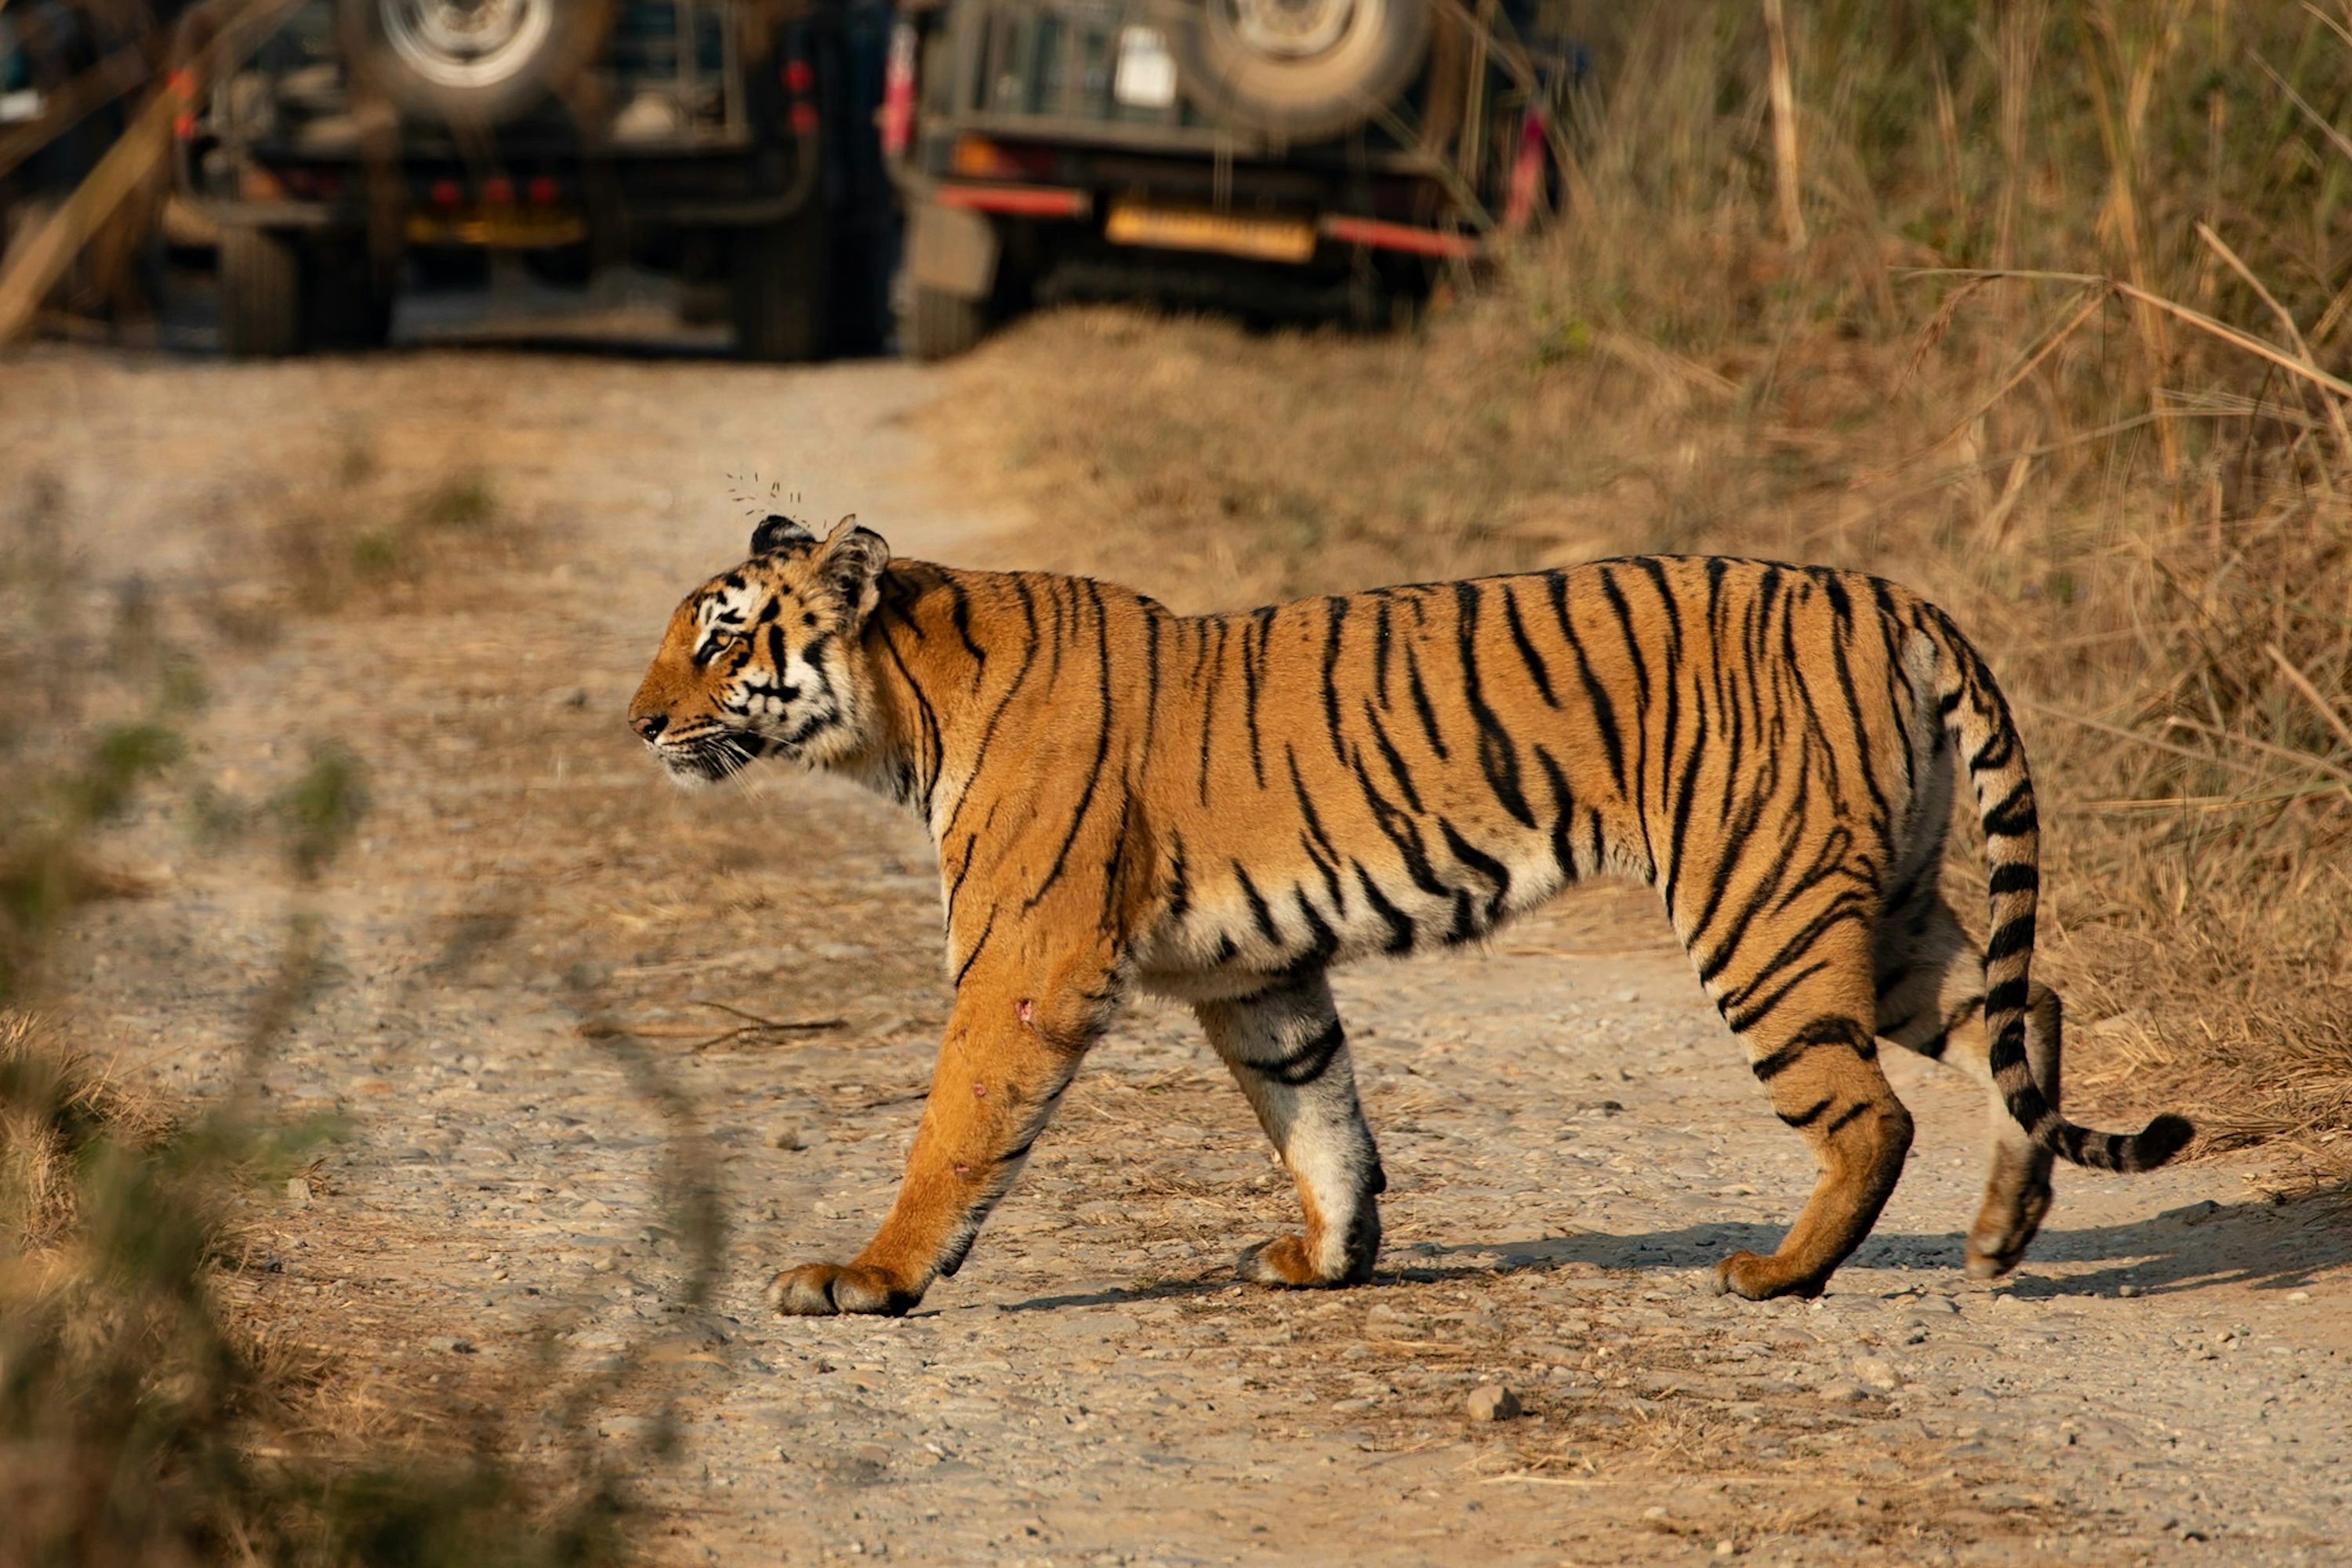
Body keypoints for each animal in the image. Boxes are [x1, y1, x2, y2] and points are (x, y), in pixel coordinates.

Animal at [627, 513, 2192, 1316]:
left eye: (720, 639)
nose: (638, 723)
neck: (903, 707)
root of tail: (1887, 595)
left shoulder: (1031, 961)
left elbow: (956, 1133)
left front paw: (869, 1278)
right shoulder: (1254, 975)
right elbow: (1319, 1116)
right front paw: (1326, 1260)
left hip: (1764, 908)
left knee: (1873, 1112)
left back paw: (1779, 1272)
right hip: (1875, 911)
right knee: (2027, 1010)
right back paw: (2001, 1235)